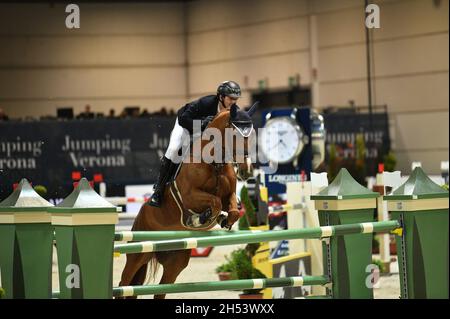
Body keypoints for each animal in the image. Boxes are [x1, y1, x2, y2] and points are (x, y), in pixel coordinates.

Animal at [118, 104, 256, 298]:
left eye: (252, 134)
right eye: (234, 134)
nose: (246, 171)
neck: (214, 163)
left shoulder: (228, 195)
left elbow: (233, 210)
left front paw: (223, 220)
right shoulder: (190, 196)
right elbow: (214, 202)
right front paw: (201, 219)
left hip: (175, 262)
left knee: (160, 290)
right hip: (138, 254)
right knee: (124, 282)